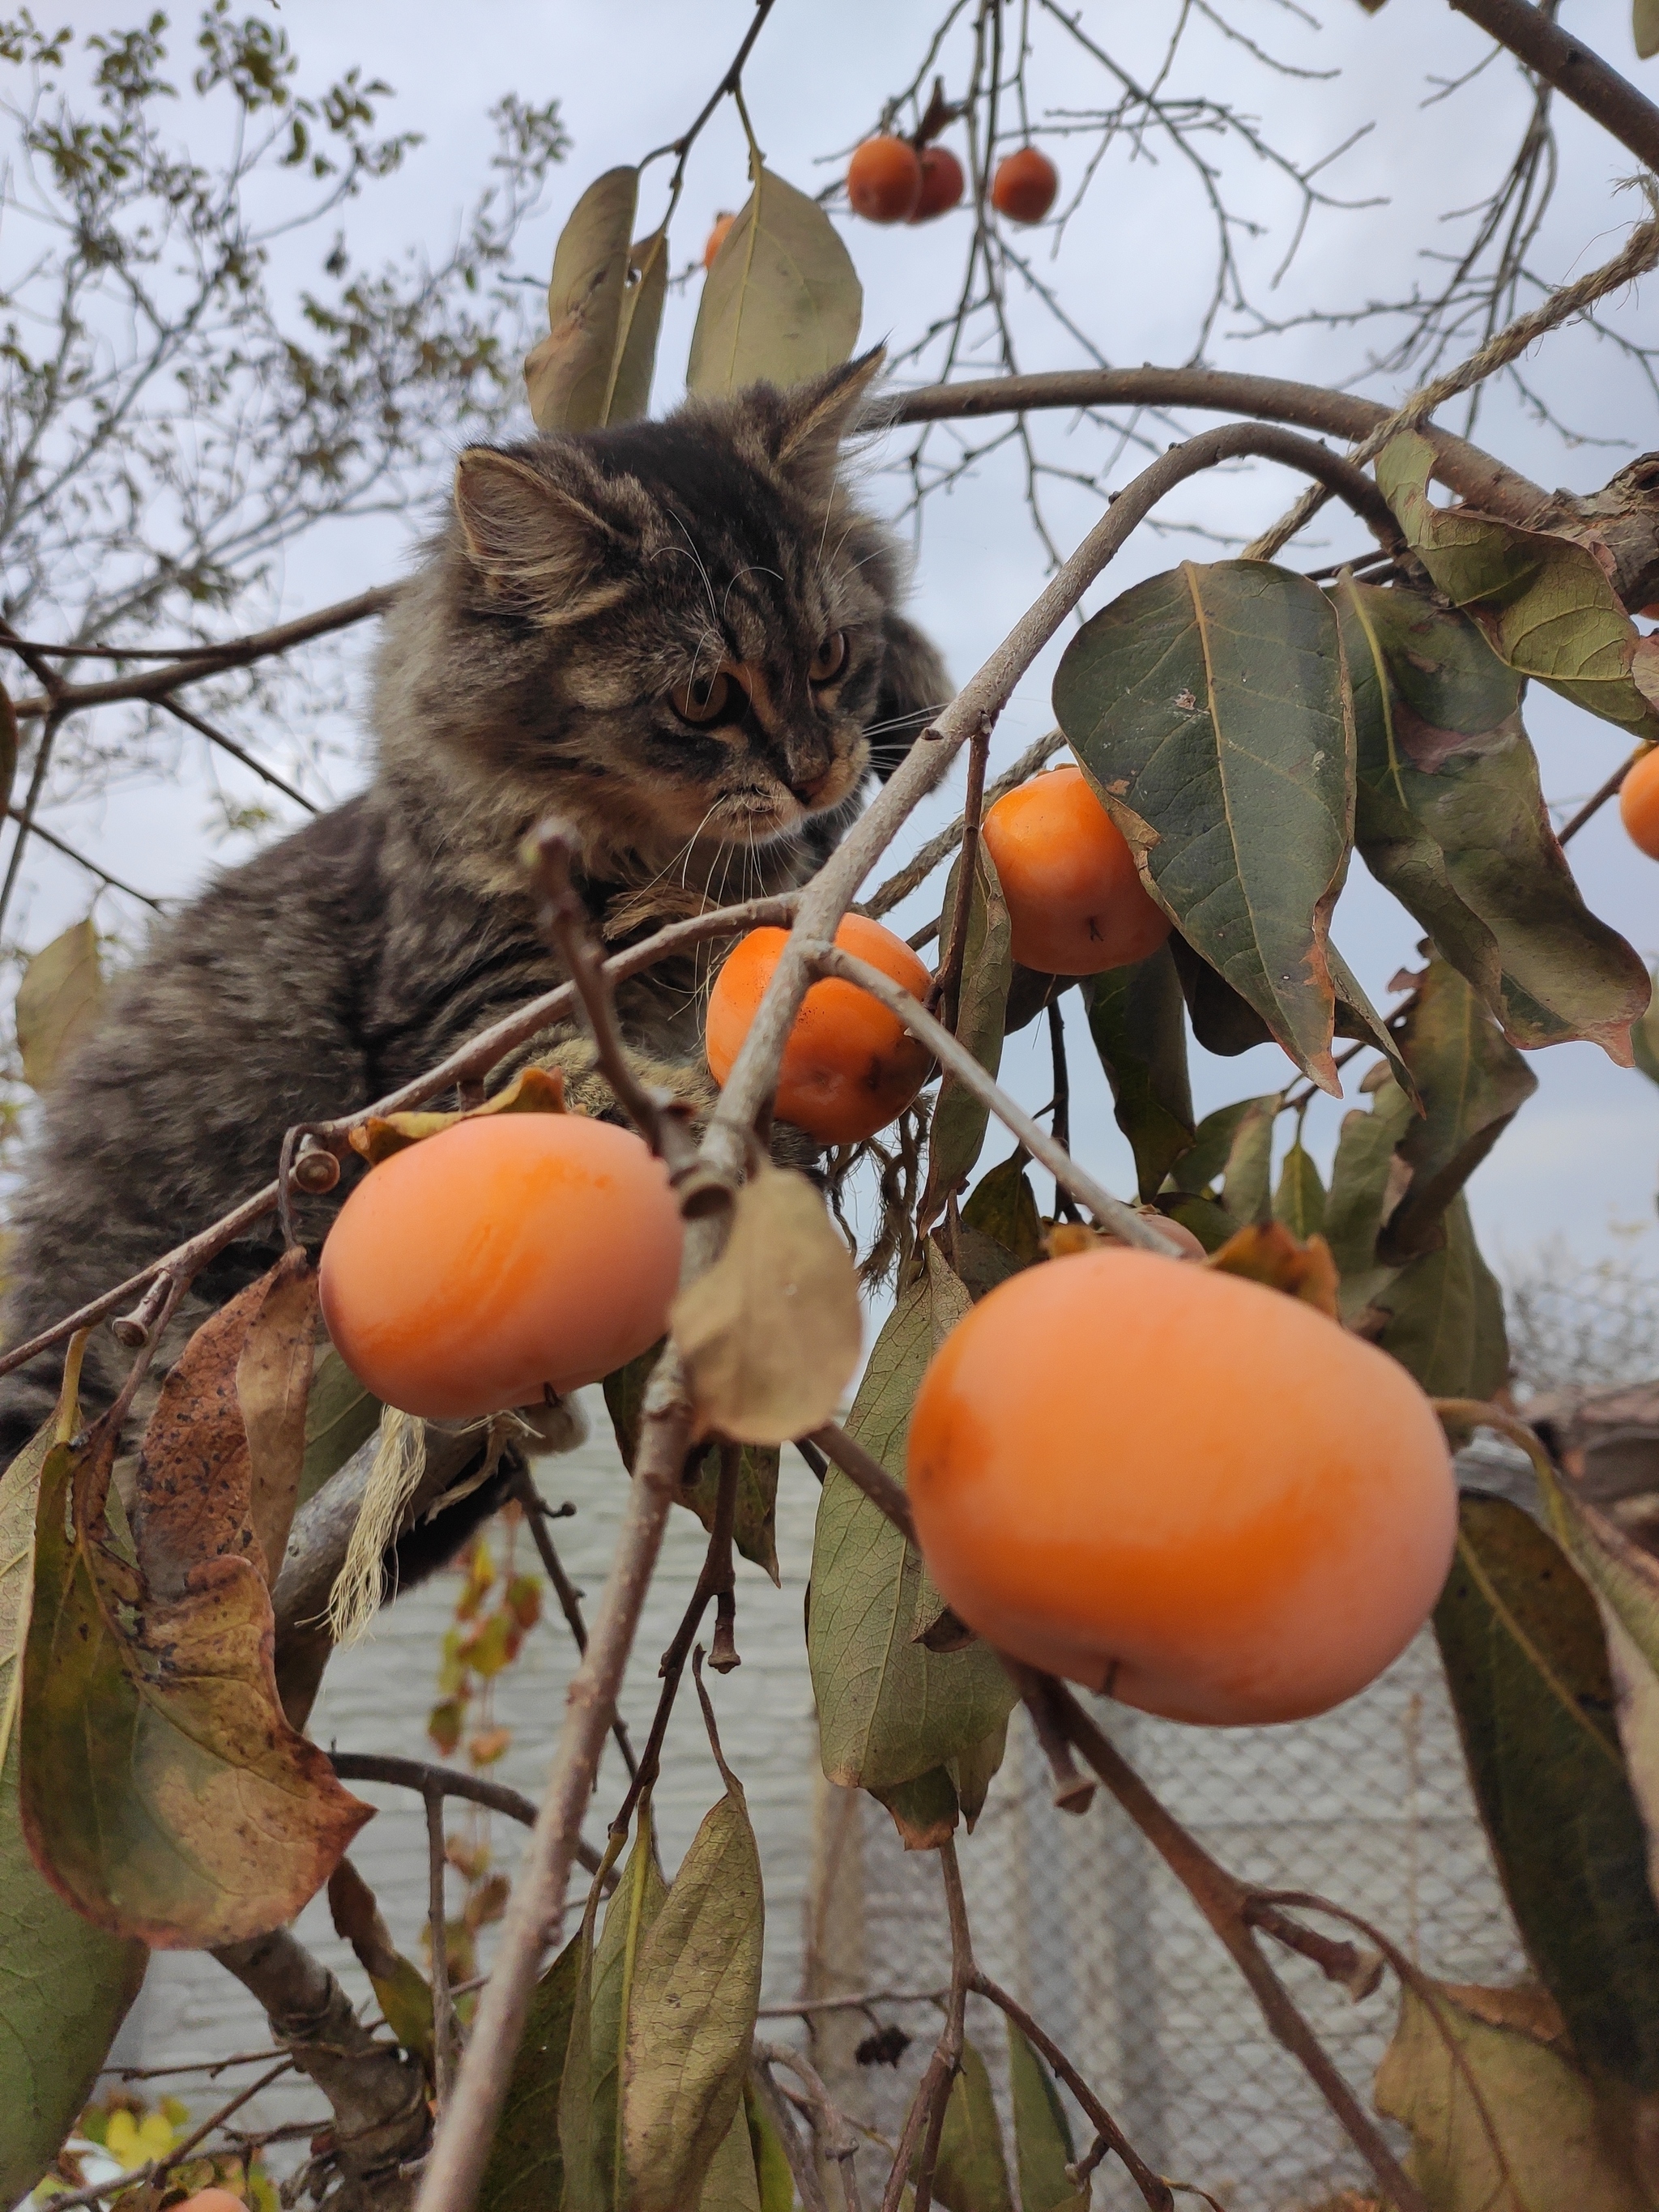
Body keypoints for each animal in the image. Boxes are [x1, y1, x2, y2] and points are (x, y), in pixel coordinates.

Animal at [0, 353, 946, 1460]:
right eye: (703, 698)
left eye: (830, 657)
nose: (813, 769)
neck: (652, 849)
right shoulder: (475, 1011)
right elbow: (596, 1081)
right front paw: (723, 1127)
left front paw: (913, 683)